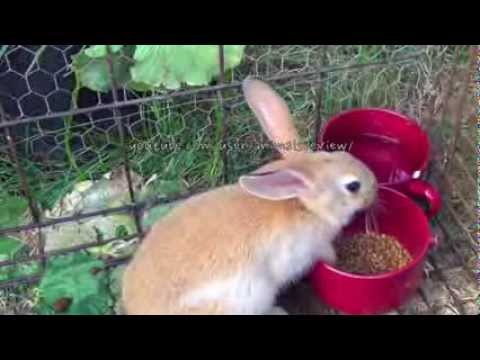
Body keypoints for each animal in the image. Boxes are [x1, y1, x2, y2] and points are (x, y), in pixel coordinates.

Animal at [122, 77, 376, 314]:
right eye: (353, 186)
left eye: (343, 153)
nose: (375, 189)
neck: (306, 205)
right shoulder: (307, 249)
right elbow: (325, 253)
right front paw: (336, 259)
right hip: (251, 296)